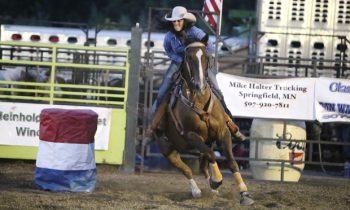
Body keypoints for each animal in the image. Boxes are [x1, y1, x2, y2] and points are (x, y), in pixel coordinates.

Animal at [153, 37, 254, 205]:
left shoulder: (223, 132)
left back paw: (213, 190)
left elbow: (232, 162)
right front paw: (217, 180)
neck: (199, 101)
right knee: (187, 169)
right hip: (168, 150)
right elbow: (212, 155)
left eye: (206, 57)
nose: (199, 85)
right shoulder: (192, 136)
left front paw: (244, 193)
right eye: (188, 57)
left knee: (203, 166)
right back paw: (197, 191)